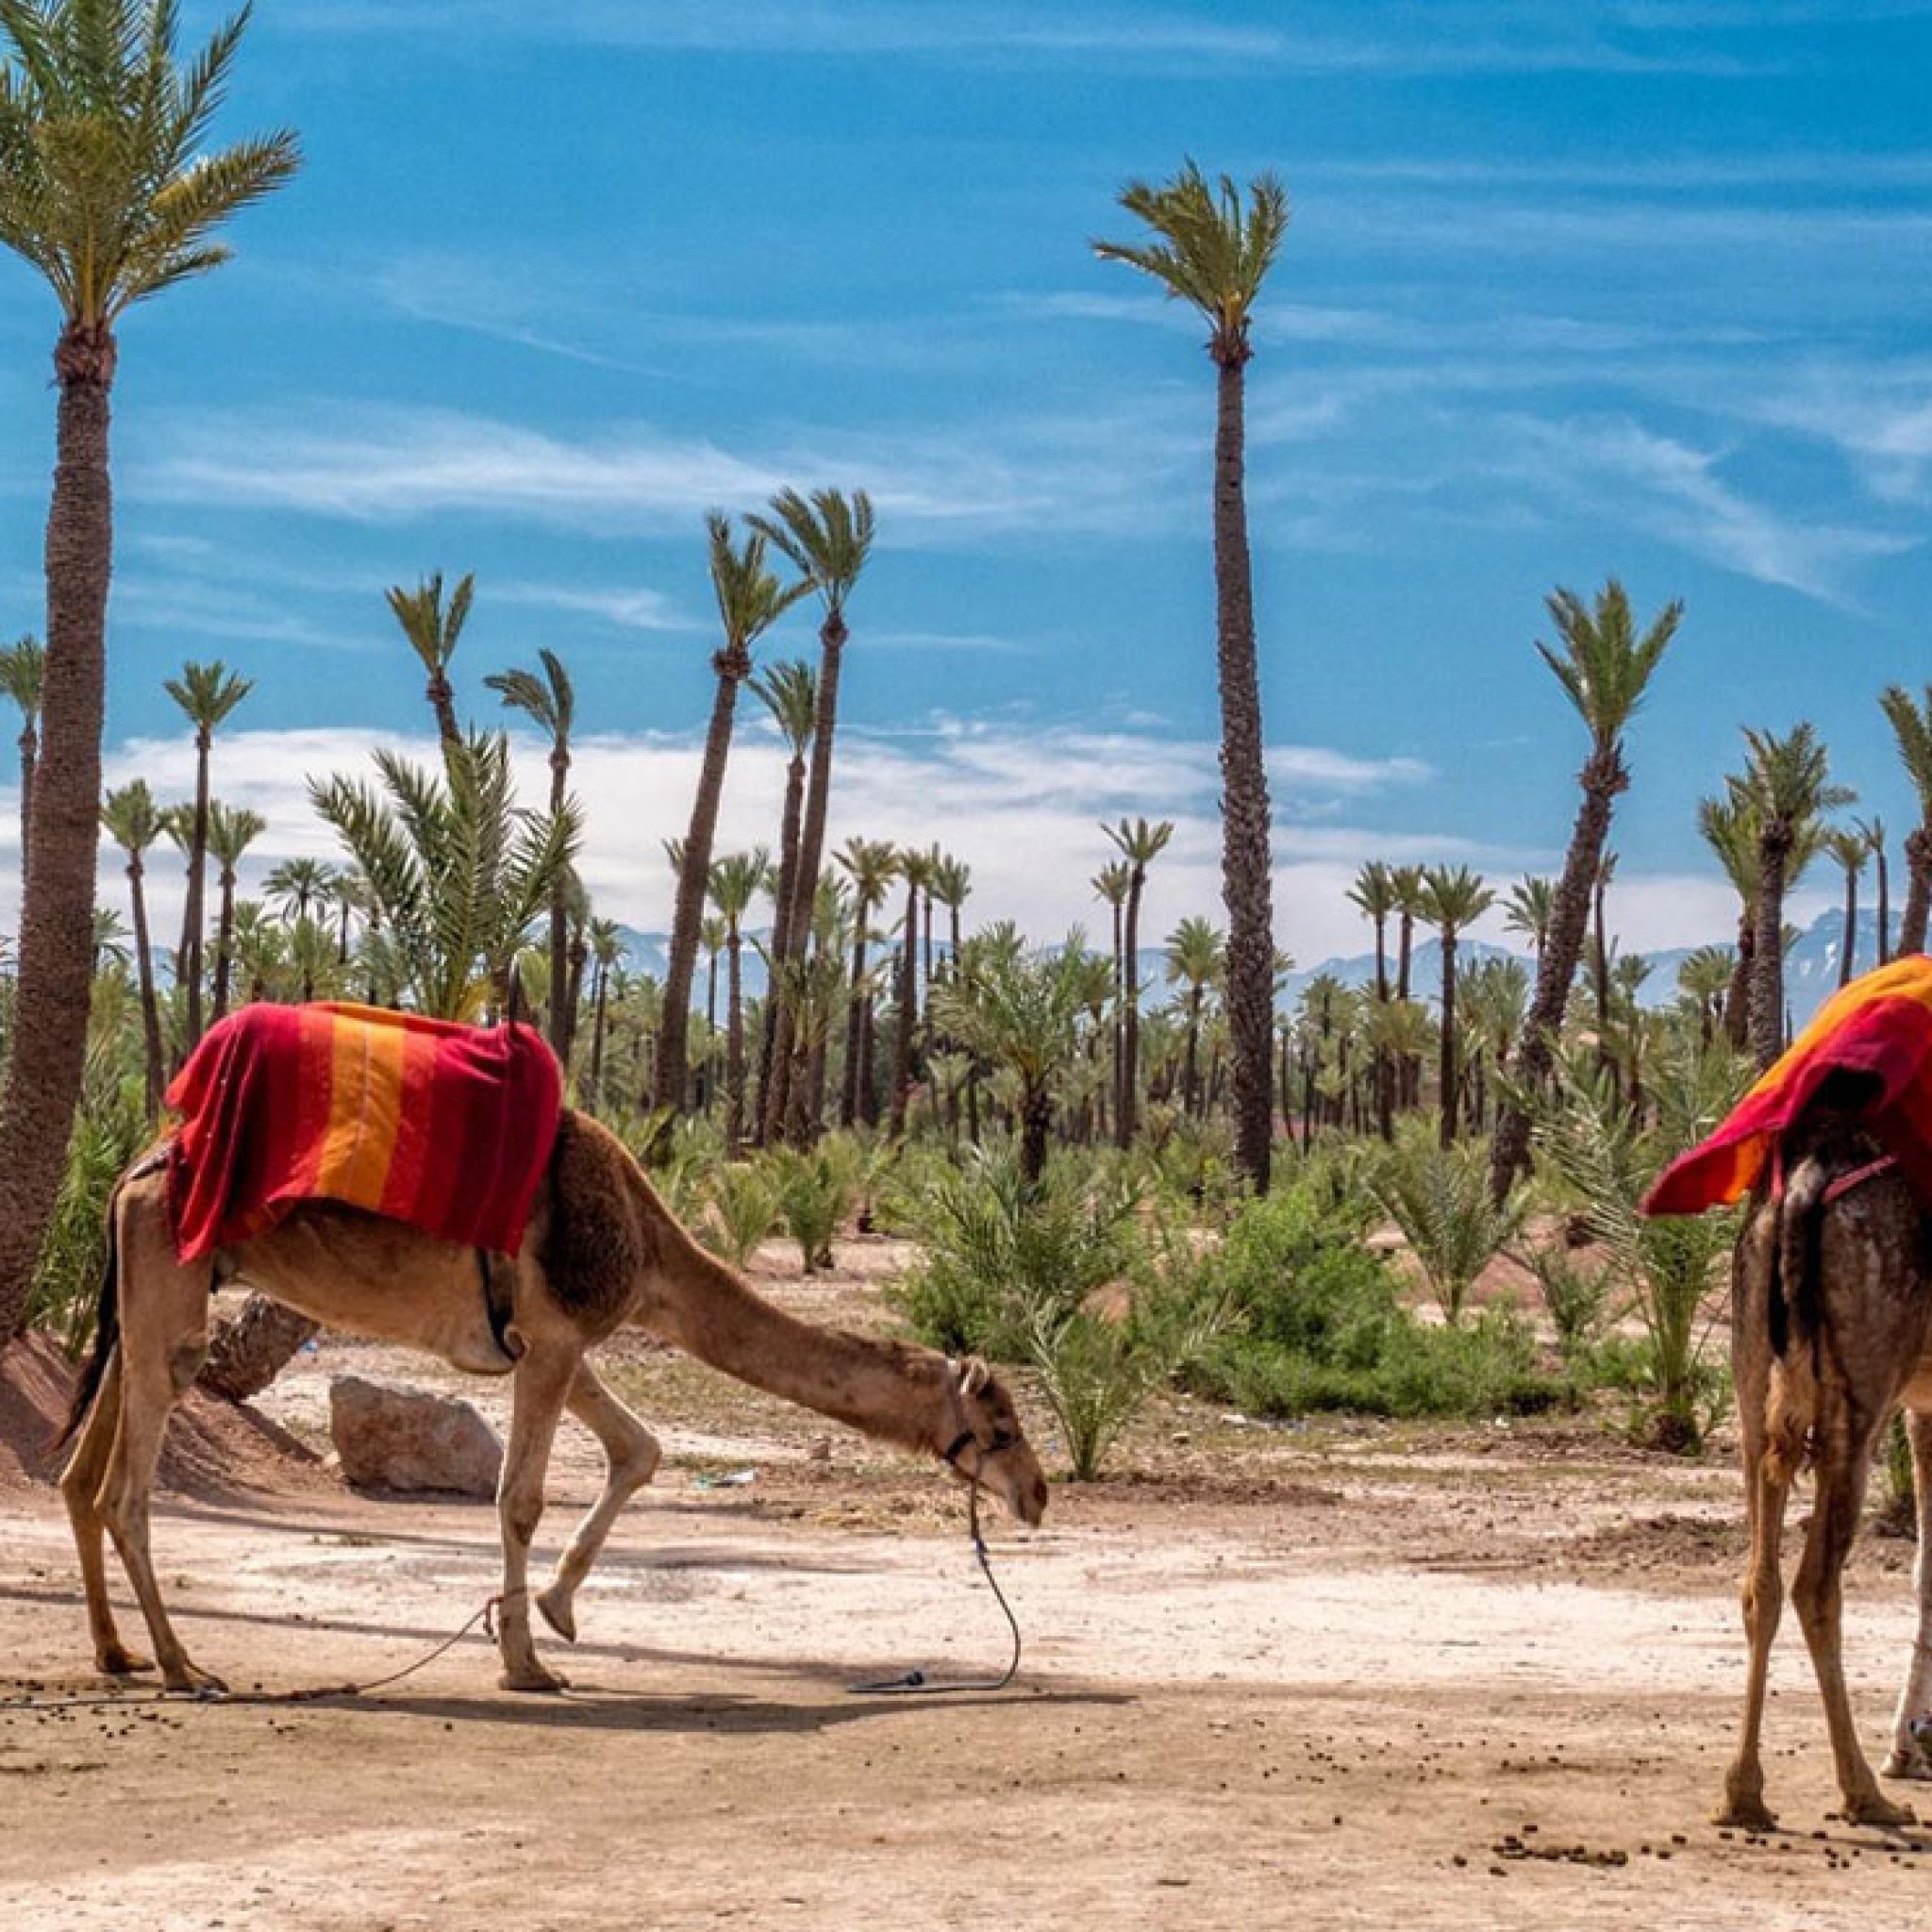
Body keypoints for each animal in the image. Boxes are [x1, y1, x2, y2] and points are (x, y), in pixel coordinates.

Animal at [59, 1108, 1049, 1695]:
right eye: (1001, 1427)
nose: (1038, 1495)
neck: (649, 1248)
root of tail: (132, 1172)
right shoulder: (559, 1333)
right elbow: (521, 1497)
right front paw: (525, 1662)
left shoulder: (555, 1341)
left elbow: (639, 1449)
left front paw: (554, 1610)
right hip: (172, 1295)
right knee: (125, 1489)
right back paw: (184, 1666)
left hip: (146, 1302)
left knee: (78, 1475)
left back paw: (117, 1654)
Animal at [1717, 1083, 1932, 1830]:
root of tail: (1807, 1181)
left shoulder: (1925, 1403)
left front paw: (1911, 1747)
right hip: (1859, 1399)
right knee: (1816, 1583)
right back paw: (1864, 1791)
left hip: (1753, 1369)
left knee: (1759, 1581)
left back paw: (1743, 1792)